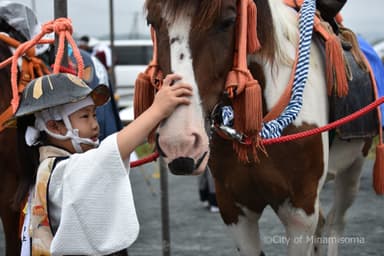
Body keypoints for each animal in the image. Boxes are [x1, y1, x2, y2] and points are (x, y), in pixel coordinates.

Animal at [140, 0, 378, 255]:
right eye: (152, 22)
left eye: (227, 22)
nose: (180, 143)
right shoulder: (235, 209)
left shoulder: (300, 209)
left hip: (353, 169)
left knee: (336, 222)